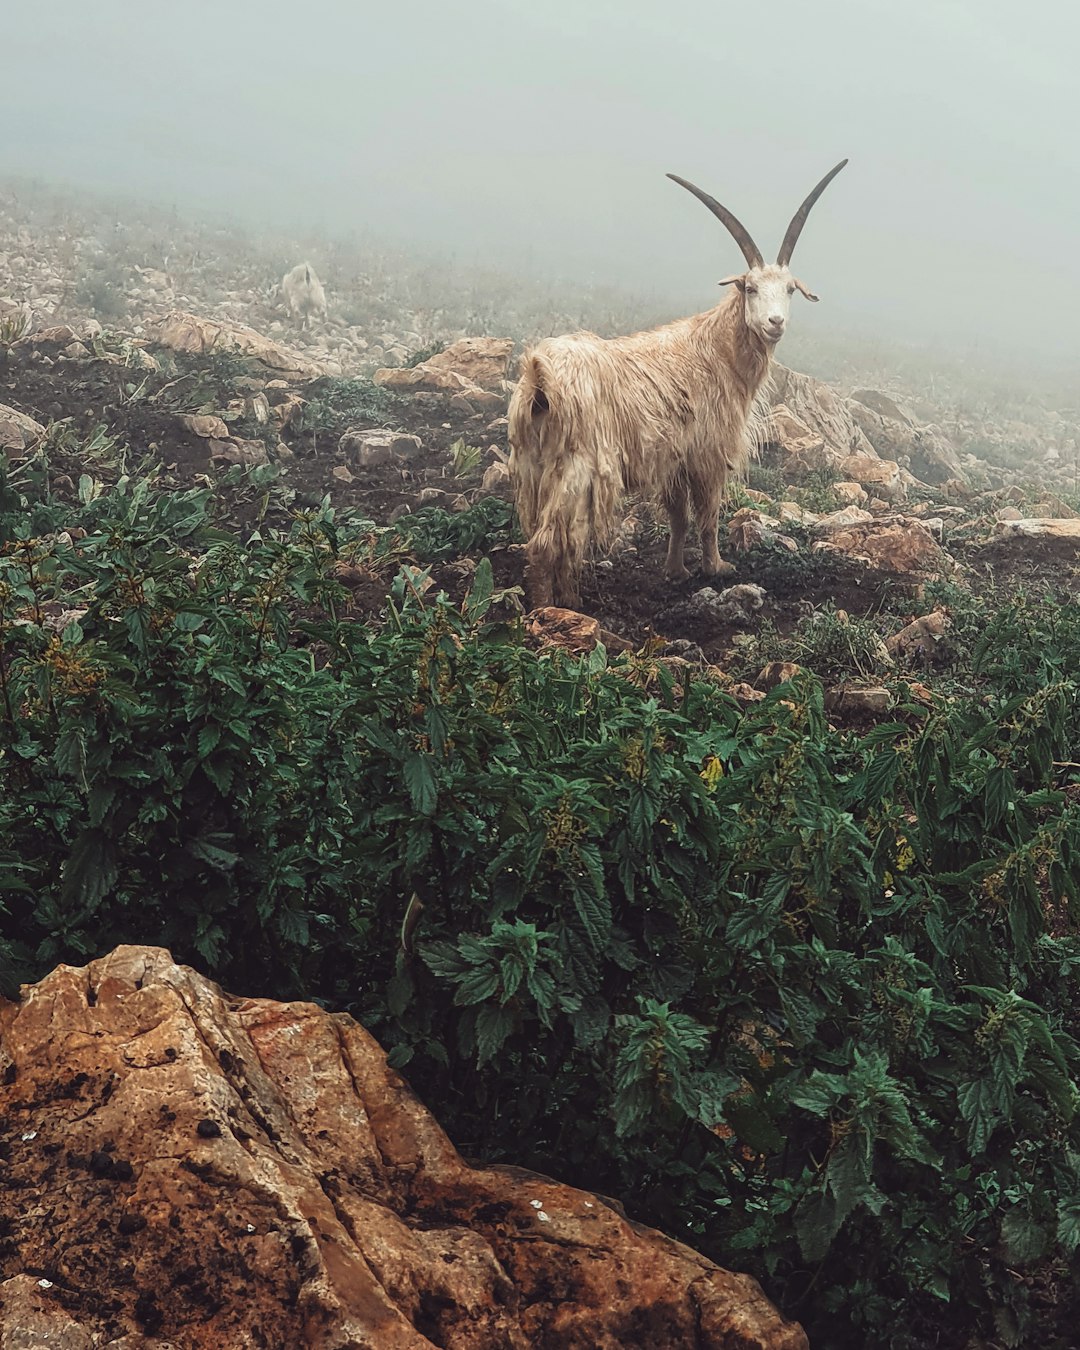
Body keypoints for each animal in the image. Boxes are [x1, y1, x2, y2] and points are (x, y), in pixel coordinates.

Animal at [510, 159, 847, 607]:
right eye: (751, 287)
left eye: (790, 289)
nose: (775, 322)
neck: (716, 348)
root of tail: (540, 376)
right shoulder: (707, 450)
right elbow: (707, 515)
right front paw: (716, 567)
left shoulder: (673, 458)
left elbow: (678, 517)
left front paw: (674, 570)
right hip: (577, 469)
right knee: (548, 542)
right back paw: (555, 608)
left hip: (532, 467)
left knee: (546, 536)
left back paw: (568, 599)